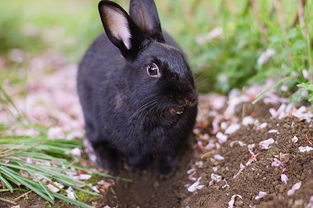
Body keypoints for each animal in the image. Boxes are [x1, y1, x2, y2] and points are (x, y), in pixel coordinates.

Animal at [76, 0, 196, 176]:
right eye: (152, 69)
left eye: (182, 59)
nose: (189, 97)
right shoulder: (131, 146)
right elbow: (137, 156)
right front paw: (137, 168)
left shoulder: (172, 145)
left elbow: (168, 154)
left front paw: (166, 172)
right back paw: (110, 165)